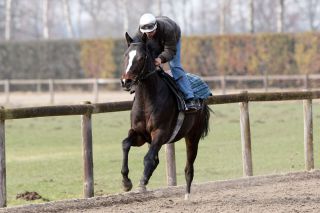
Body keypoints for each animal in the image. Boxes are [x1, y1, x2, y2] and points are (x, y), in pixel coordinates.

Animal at [120, 32, 212, 200]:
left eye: (142, 57)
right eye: (126, 56)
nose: (126, 81)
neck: (147, 100)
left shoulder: (160, 133)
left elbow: (148, 158)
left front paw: (141, 184)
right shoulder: (140, 134)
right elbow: (125, 144)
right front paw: (126, 182)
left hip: (193, 136)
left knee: (189, 167)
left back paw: (187, 194)